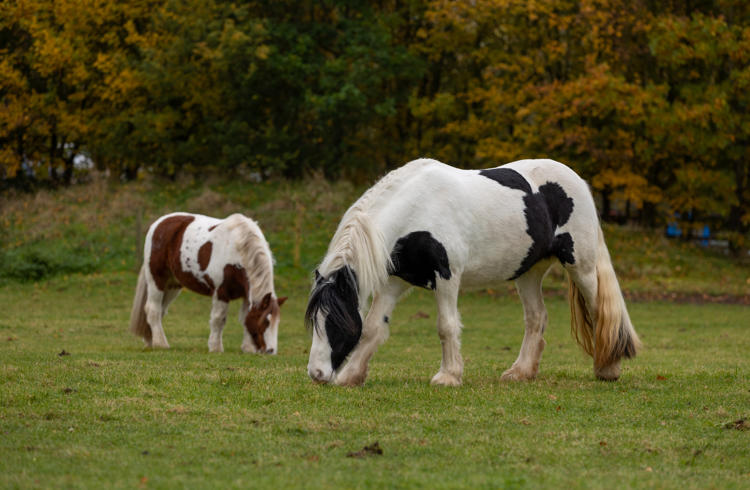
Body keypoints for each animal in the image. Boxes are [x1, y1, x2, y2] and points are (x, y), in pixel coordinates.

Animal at [129, 212, 286, 353]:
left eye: (277, 322)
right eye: (265, 321)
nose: (270, 351)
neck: (237, 250)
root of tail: (158, 223)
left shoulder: (247, 295)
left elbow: (244, 319)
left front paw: (247, 348)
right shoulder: (221, 292)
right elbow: (218, 319)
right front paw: (215, 347)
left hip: (172, 285)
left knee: (160, 311)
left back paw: (151, 341)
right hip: (157, 280)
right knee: (153, 309)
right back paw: (161, 344)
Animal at [305, 158, 640, 386]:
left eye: (335, 321)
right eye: (314, 321)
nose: (317, 374)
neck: (417, 208)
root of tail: (577, 180)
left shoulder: (447, 276)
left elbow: (446, 325)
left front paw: (448, 376)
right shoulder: (394, 282)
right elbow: (374, 327)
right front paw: (352, 376)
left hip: (580, 265)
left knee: (600, 312)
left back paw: (608, 369)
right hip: (528, 273)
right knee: (536, 318)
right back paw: (520, 372)